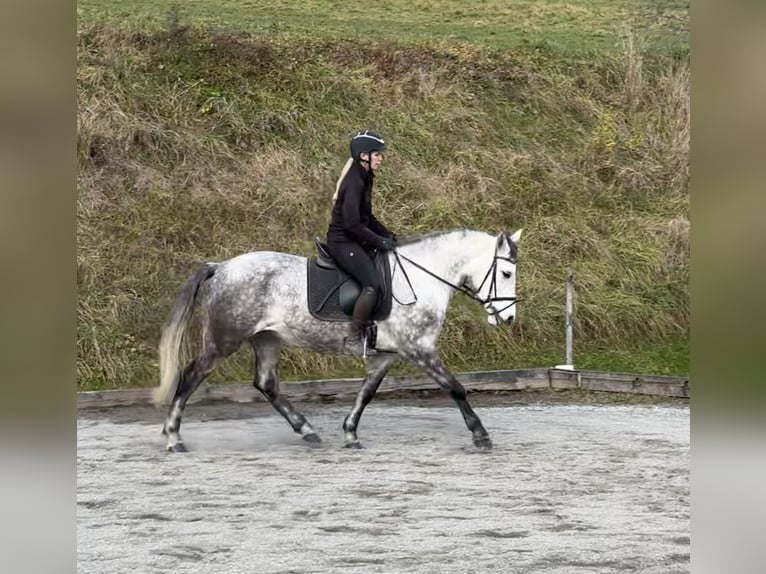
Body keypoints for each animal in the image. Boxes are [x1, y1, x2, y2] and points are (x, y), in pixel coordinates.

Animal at [154, 228, 522, 452]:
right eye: (506, 273)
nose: (508, 319)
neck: (421, 278)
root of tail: (222, 267)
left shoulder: (386, 355)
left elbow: (367, 393)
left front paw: (350, 433)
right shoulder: (419, 348)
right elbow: (455, 387)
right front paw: (481, 434)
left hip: (266, 338)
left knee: (266, 384)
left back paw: (307, 431)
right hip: (224, 339)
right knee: (190, 376)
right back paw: (173, 438)